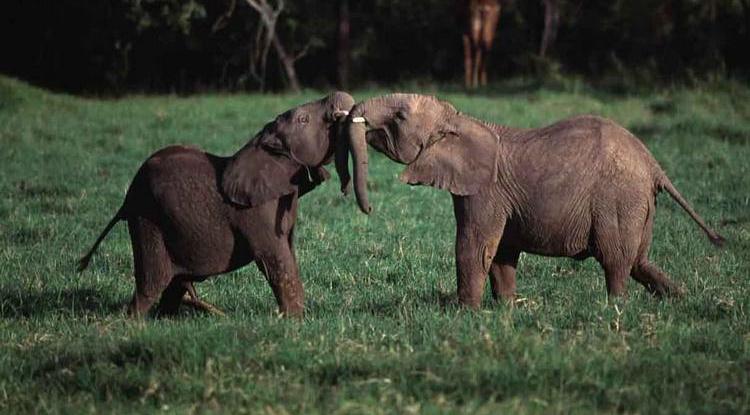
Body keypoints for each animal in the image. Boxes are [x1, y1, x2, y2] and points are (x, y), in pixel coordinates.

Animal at [79, 92, 358, 318]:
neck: (263, 141)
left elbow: (288, 253)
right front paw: (295, 320)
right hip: (148, 219)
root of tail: (127, 200)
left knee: (174, 285)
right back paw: (134, 323)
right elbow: (276, 259)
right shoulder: (255, 212)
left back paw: (165, 319)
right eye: (303, 120)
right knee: (151, 284)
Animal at [340, 94, 728, 308]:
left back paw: (614, 309)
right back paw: (681, 299)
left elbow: (475, 247)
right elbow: (501, 253)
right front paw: (507, 311)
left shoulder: (485, 191)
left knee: (617, 261)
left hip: (619, 200)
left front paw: (466, 313)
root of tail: (653, 165)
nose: (367, 208)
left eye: (400, 117)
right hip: (638, 204)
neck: (461, 120)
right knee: (639, 261)